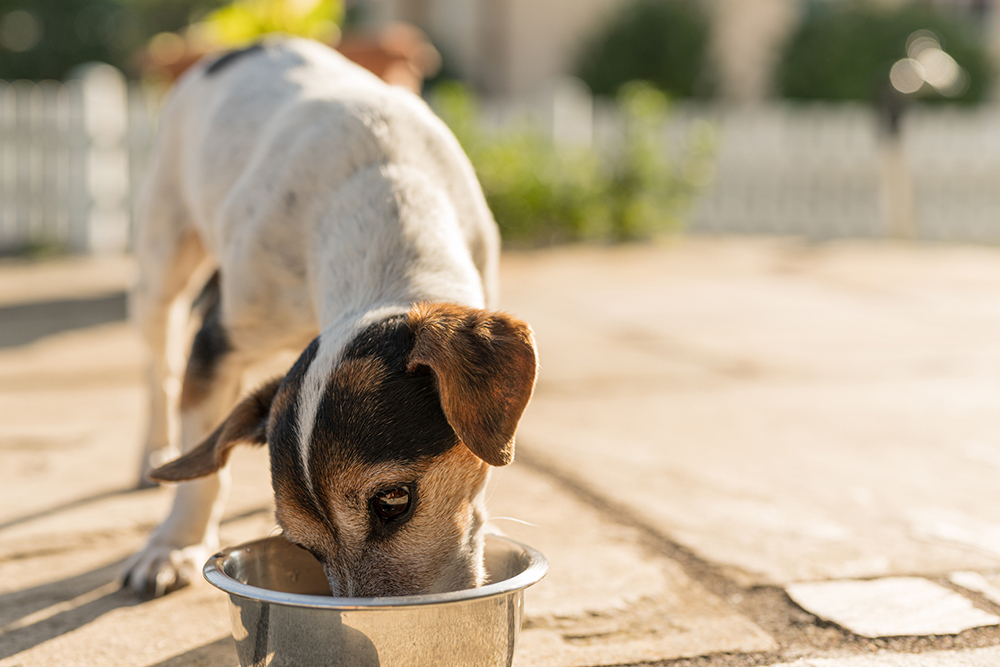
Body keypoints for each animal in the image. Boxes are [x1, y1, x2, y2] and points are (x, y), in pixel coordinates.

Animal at [123, 36, 540, 600]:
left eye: (393, 501)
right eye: (302, 547)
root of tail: (255, 41)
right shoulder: (215, 342)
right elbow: (203, 465)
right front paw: (175, 545)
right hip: (161, 265)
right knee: (158, 365)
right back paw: (154, 449)